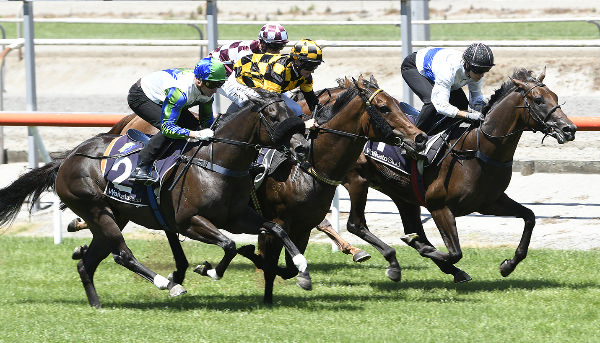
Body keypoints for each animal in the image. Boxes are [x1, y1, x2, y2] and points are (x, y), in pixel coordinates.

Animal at [1, 90, 314, 308]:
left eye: (295, 113)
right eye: (273, 115)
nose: (301, 148)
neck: (216, 163)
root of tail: (66, 159)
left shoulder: (237, 216)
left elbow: (276, 228)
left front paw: (301, 266)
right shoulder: (189, 221)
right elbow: (229, 245)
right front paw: (209, 270)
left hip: (114, 216)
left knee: (88, 263)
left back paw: (96, 304)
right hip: (96, 209)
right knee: (122, 255)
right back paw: (168, 284)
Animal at [316, 67, 580, 282]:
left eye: (555, 97)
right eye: (538, 100)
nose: (569, 129)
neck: (478, 148)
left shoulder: (490, 202)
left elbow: (530, 217)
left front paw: (508, 265)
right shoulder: (439, 206)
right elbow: (455, 252)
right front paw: (428, 251)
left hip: (403, 194)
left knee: (412, 228)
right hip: (357, 181)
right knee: (356, 223)